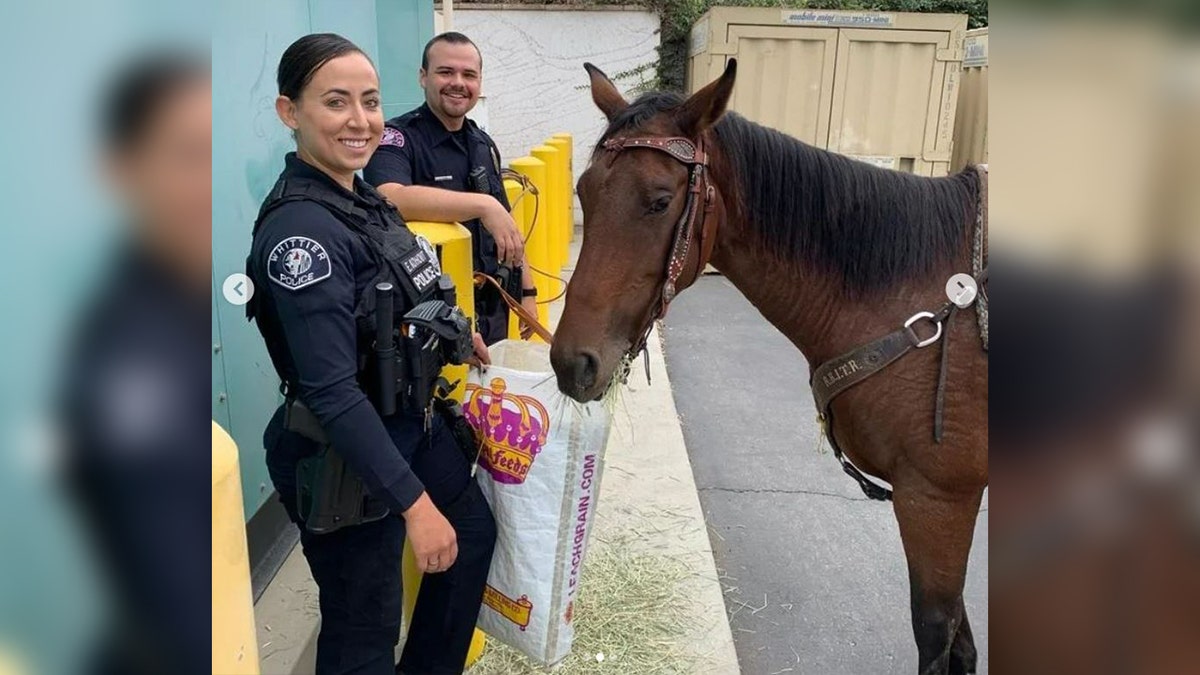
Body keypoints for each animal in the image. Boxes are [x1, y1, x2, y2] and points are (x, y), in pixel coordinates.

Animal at [549, 60, 988, 667]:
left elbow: (937, 633)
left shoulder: (938, 499)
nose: (573, 363)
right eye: (584, 193)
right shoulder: (938, 504)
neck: (906, 293)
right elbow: (961, 641)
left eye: (659, 201)